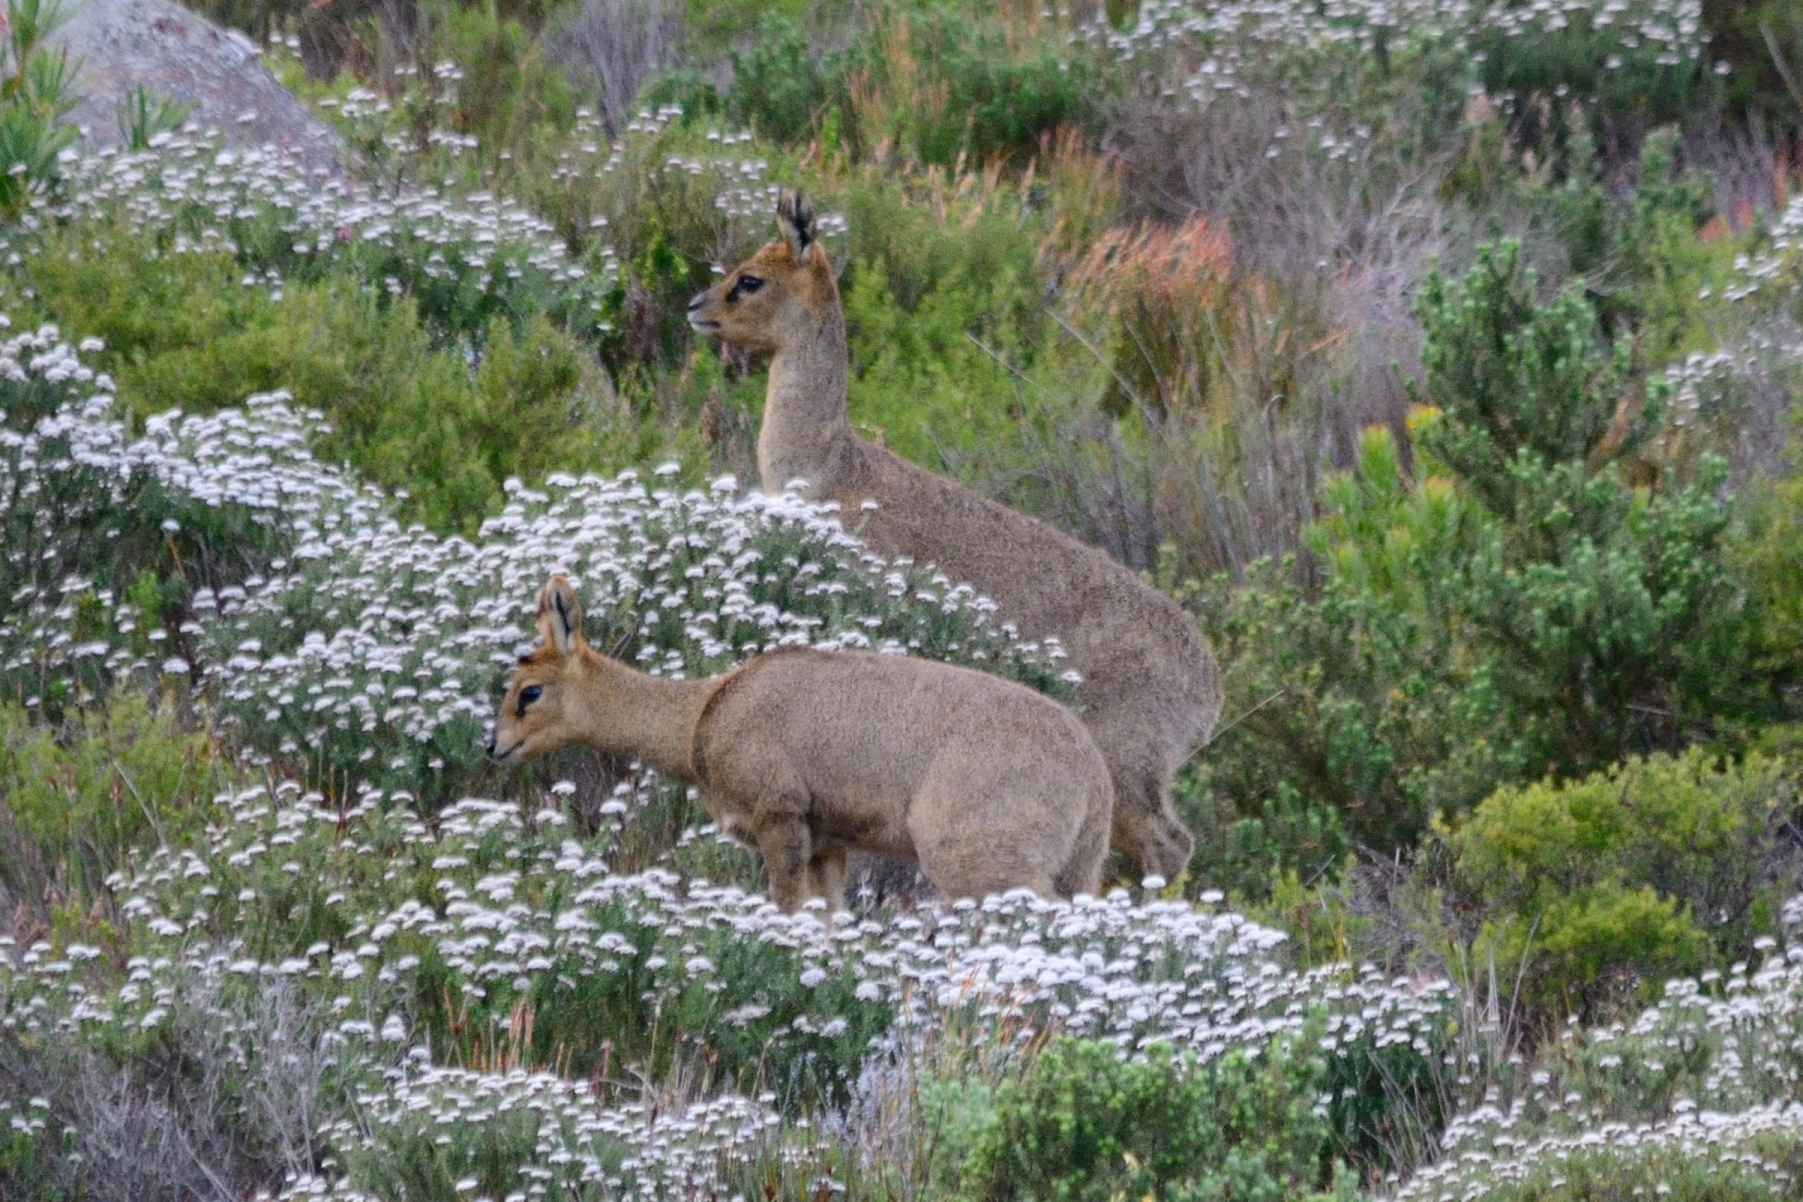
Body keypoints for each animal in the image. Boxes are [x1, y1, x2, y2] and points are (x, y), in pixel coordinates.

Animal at [494, 576, 1110, 911]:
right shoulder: (828, 845)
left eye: (529, 690)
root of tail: (1094, 775)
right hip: (1075, 871)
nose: (494, 746)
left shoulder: (779, 819)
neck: (705, 713)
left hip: (982, 867)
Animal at [688, 190, 1226, 883]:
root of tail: (1209, 687)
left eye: (750, 279)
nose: (695, 307)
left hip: (1127, 764)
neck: (834, 465)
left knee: (1170, 841)